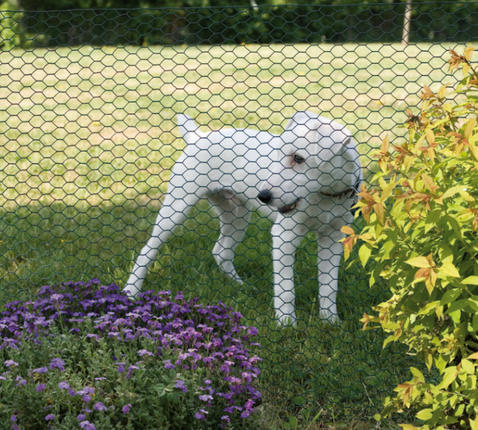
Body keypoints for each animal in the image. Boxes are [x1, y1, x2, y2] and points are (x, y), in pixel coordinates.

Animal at [124, 111, 362, 326]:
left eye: (298, 158)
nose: (263, 196)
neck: (326, 196)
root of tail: (196, 136)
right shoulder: (284, 236)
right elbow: (285, 289)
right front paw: (286, 323)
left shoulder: (332, 238)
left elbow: (329, 285)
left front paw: (330, 321)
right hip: (176, 208)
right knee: (147, 251)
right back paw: (130, 292)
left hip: (236, 216)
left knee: (221, 251)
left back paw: (241, 286)